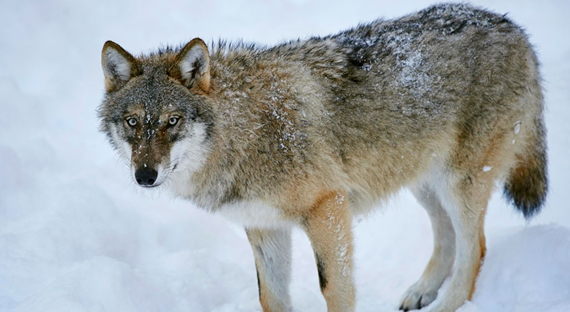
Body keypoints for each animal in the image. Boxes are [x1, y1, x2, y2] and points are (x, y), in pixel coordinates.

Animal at [98, 3, 544, 312]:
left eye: (172, 121)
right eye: (133, 122)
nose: (144, 175)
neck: (244, 131)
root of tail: (514, 28)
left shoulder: (327, 208)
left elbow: (334, 289)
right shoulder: (264, 227)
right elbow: (272, 298)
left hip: (459, 184)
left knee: (475, 251)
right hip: (424, 183)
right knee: (448, 239)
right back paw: (420, 293)